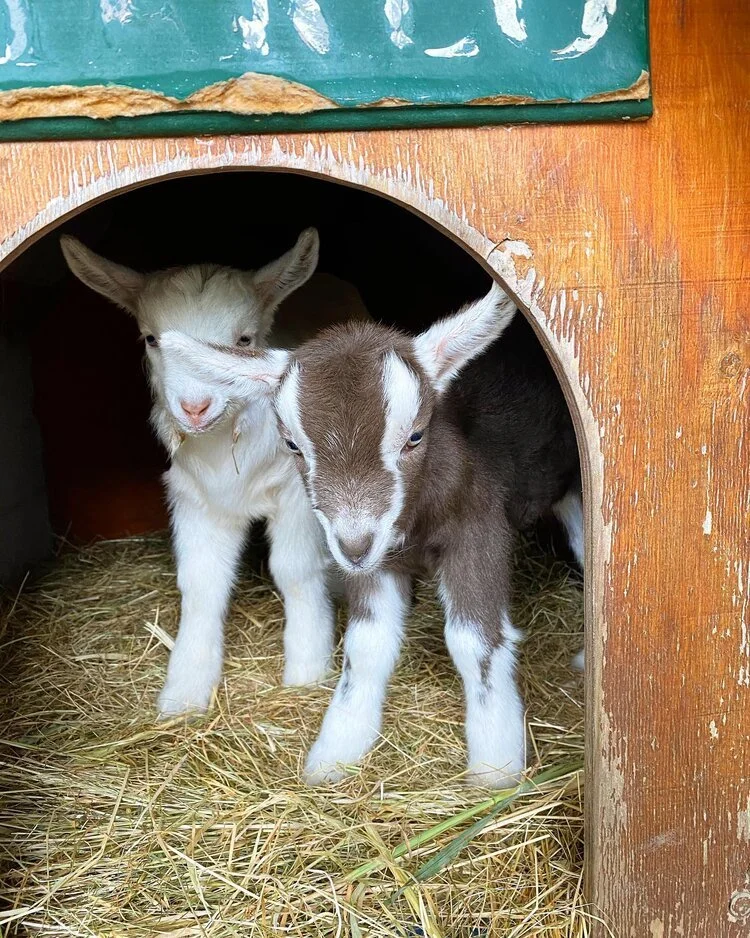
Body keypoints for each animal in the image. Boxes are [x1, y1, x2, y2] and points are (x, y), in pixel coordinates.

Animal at [61, 229, 371, 718]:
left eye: (244, 340)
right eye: (151, 339)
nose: (194, 407)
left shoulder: (296, 491)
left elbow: (295, 570)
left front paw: (307, 668)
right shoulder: (195, 496)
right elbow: (201, 582)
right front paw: (184, 690)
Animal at [161, 283, 584, 787]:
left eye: (416, 436)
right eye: (292, 445)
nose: (354, 545)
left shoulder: (477, 529)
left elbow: (475, 642)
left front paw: (494, 766)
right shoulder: (375, 561)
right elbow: (365, 645)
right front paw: (336, 750)